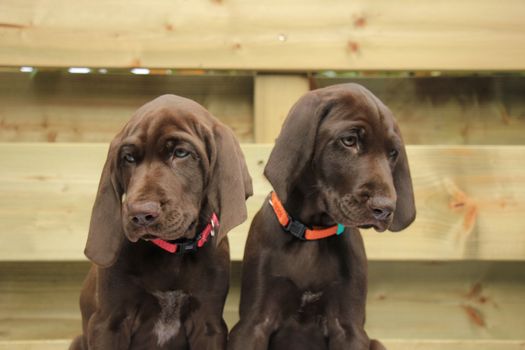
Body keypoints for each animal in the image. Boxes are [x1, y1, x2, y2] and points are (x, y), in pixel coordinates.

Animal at [69, 95, 252, 350]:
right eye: (128, 158)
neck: (172, 252)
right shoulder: (108, 323)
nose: (140, 215)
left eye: (181, 153)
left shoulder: (208, 324)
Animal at [228, 84, 414, 350]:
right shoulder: (254, 323)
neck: (311, 233)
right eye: (349, 141)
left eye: (393, 153)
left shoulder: (348, 327)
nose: (385, 208)